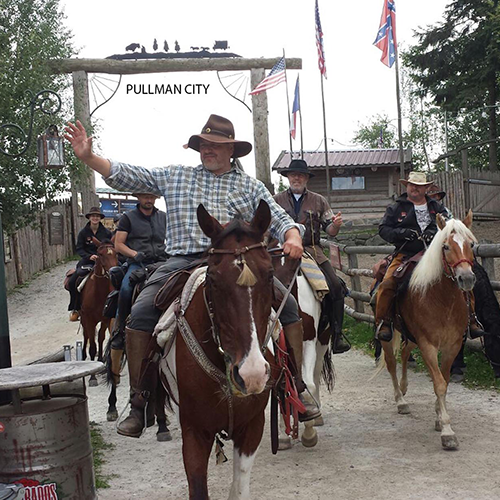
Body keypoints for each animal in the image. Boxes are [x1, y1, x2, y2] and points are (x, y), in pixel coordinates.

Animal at [79, 240, 117, 384]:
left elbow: (101, 338)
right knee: (86, 335)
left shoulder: (106, 319)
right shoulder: (89, 319)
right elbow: (92, 346)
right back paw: (83, 356)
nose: (113, 271)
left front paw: (101, 364)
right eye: (100, 254)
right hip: (84, 319)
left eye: (116, 253)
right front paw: (92, 377)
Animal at [162, 201, 276, 498]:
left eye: (270, 274)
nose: (251, 375)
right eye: (212, 279)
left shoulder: (252, 428)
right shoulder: (194, 432)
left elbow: (239, 489)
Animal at [378, 209, 476, 452]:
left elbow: (444, 381)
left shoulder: (452, 346)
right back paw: (400, 400)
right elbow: (438, 383)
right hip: (388, 335)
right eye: (446, 246)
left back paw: (404, 388)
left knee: (404, 354)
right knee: (392, 363)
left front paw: (439, 418)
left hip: (411, 337)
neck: (441, 299)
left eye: (470, 244)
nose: (467, 278)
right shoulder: (428, 345)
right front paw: (448, 432)